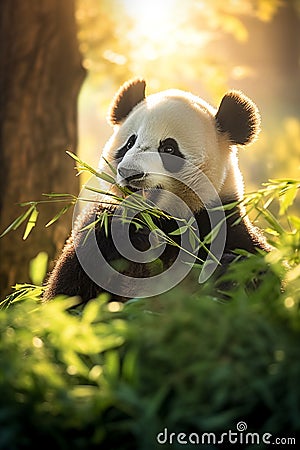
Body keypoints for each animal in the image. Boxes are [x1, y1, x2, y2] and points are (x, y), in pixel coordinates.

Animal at [44, 79, 270, 304]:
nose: (130, 172)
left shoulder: (222, 223)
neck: (162, 220)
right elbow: (70, 291)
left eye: (169, 148)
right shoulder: (99, 229)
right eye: (129, 143)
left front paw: (228, 272)